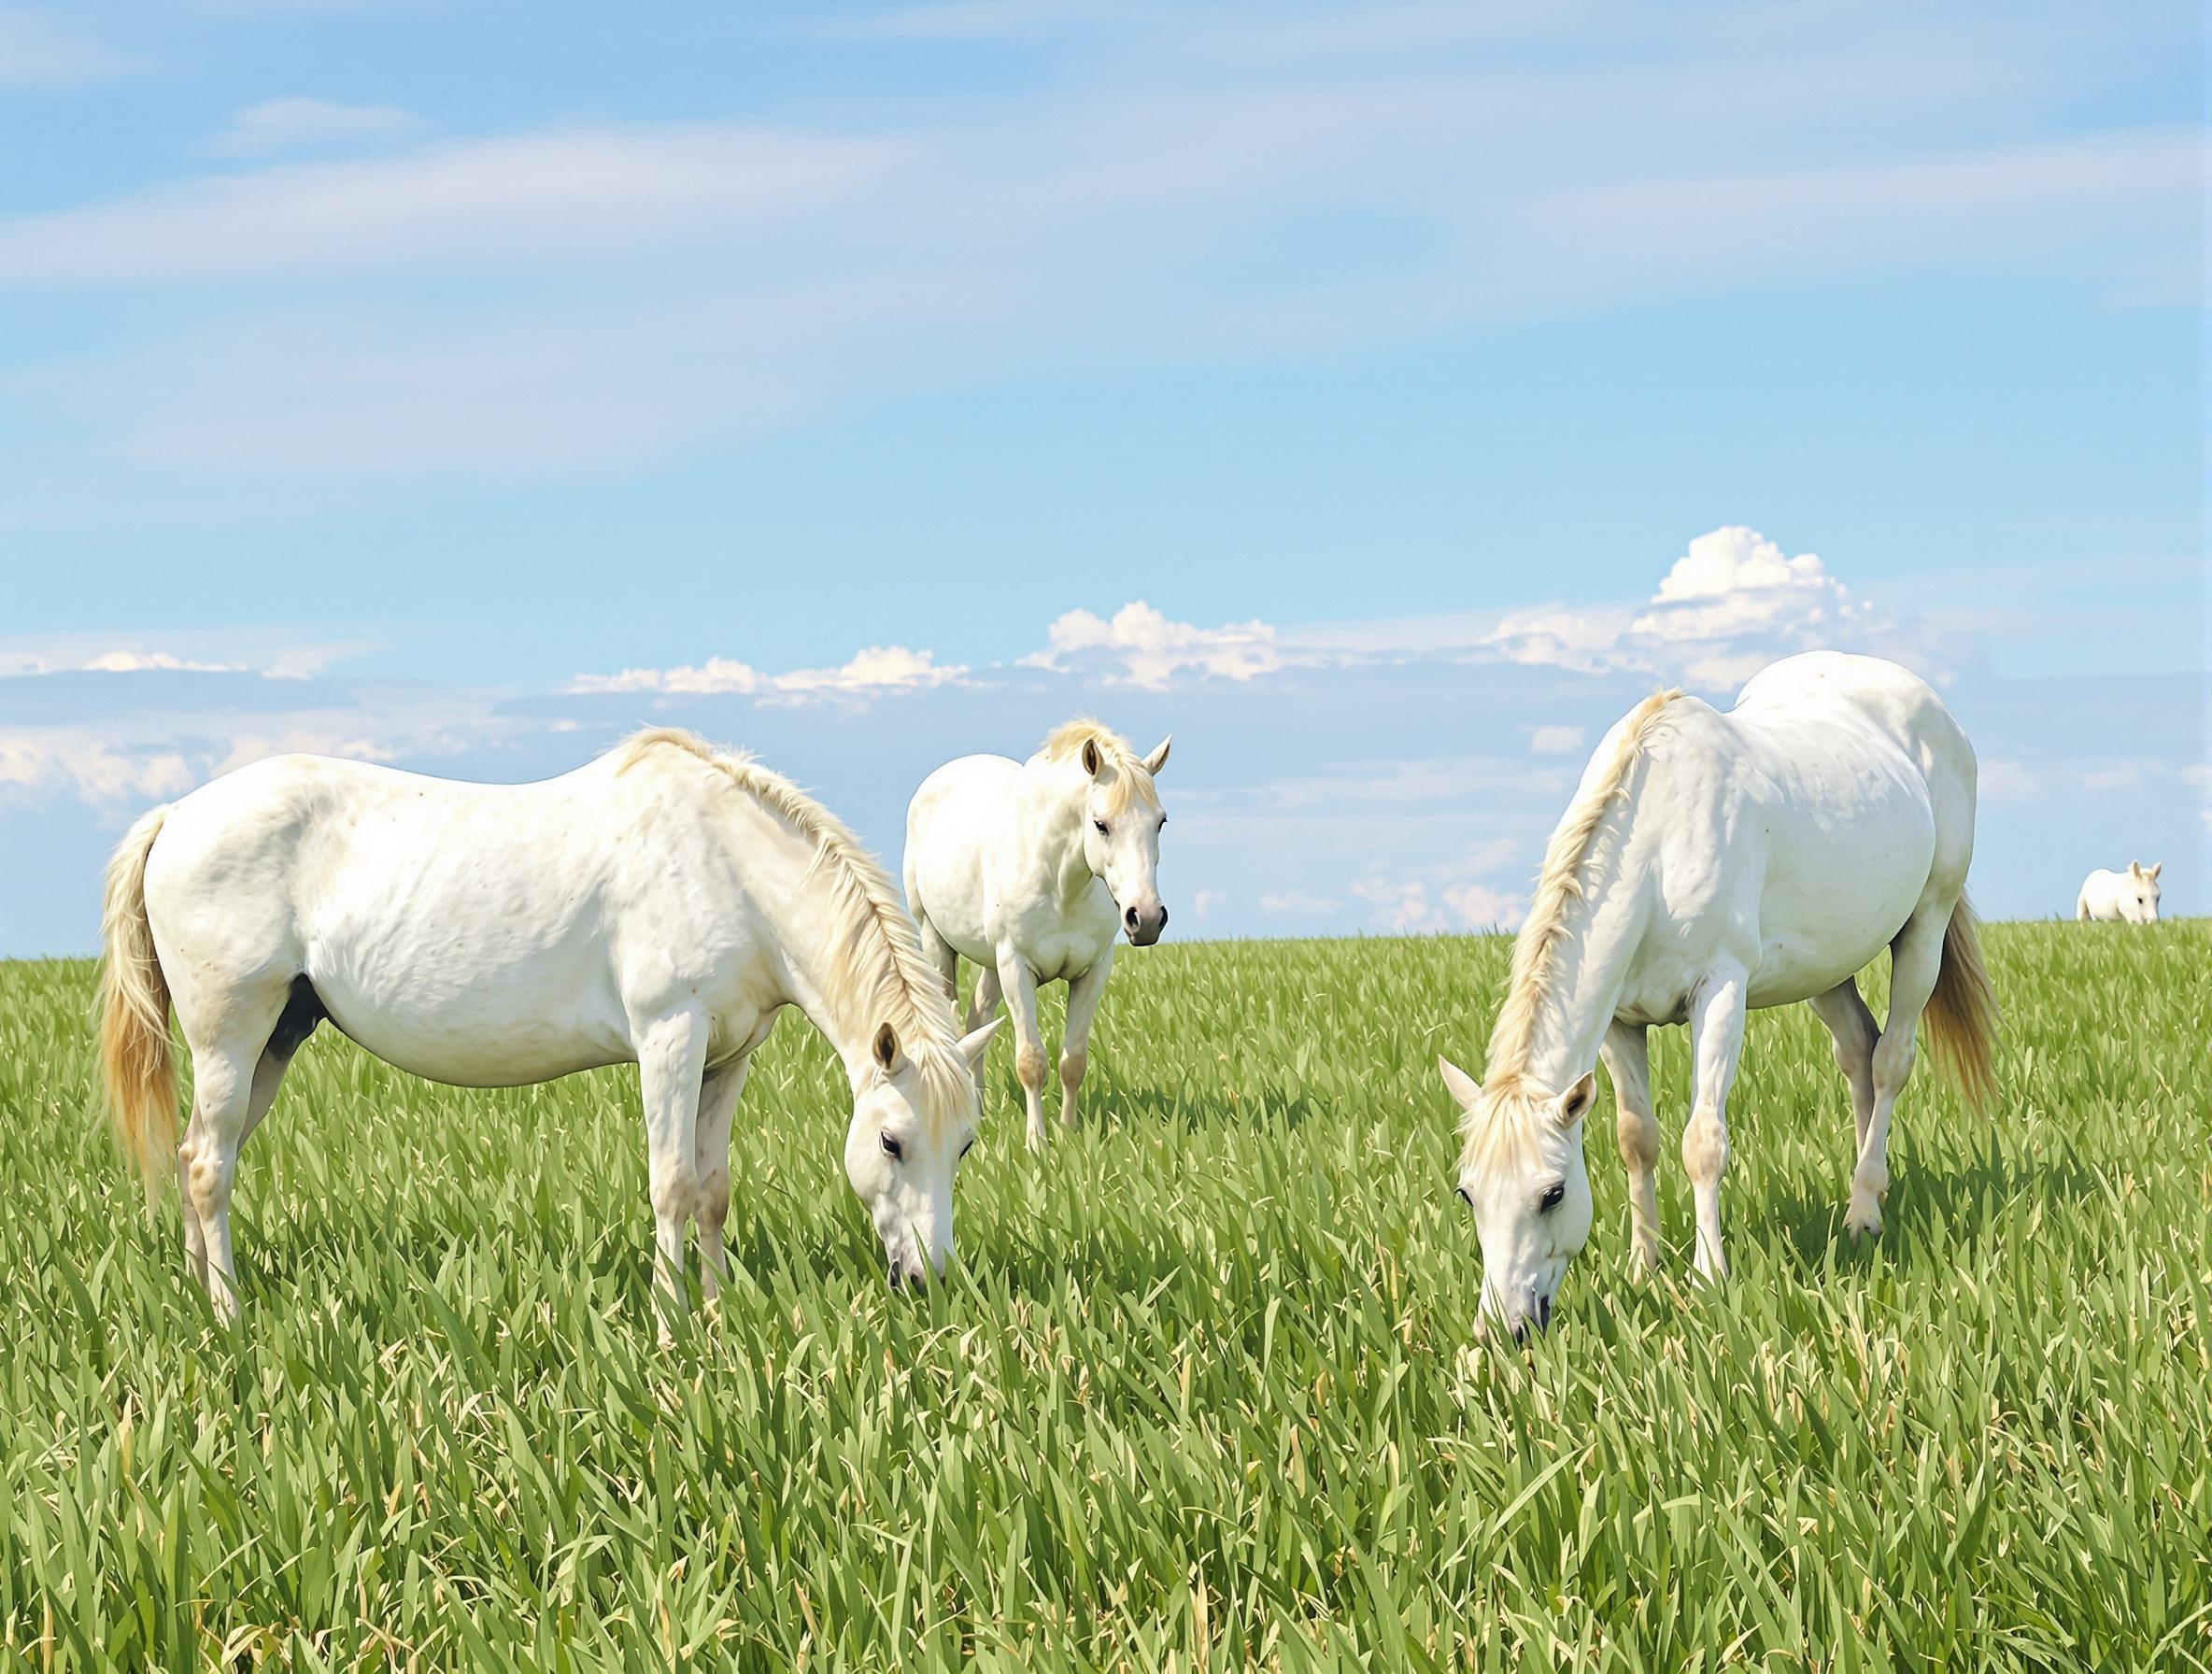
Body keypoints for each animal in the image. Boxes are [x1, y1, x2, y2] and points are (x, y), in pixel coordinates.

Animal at [99, 730, 1000, 1335]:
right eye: (890, 1142)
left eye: (964, 1147)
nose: (927, 1281)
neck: (729, 868)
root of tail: (176, 816)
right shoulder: (670, 1038)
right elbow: (671, 1186)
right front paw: (671, 1332)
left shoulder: (728, 1058)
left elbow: (712, 1191)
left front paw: (716, 1316)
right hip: (231, 1036)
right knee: (208, 1169)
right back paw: (229, 1316)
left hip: (277, 1039)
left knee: (196, 1156)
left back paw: (196, 1297)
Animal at [898, 716, 1176, 1149]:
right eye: (1101, 825)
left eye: (1160, 822)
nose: (1145, 917)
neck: (1060, 883)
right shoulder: (1016, 965)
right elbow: (1031, 1060)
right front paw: (1036, 1142)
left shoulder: (1092, 971)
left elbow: (1073, 1060)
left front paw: (1069, 1132)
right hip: (936, 942)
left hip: (991, 963)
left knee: (978, 1020)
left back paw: (979, 1107)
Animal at [1441, 645, 1999, 1335]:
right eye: (1467, 1193)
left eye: (1553, 1194)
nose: (1503, 1329)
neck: (1657, 848)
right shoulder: (1619, 1023)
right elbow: (1636, 1141)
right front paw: (1643, 1266)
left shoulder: (1720, 991)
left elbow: (1702, 1141)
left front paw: (1708, 1278)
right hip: (1825, 964)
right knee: (1857, 1054)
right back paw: (1868, 1199)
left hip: (1926, 924)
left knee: (1891, 1060)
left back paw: (1863, 1207)